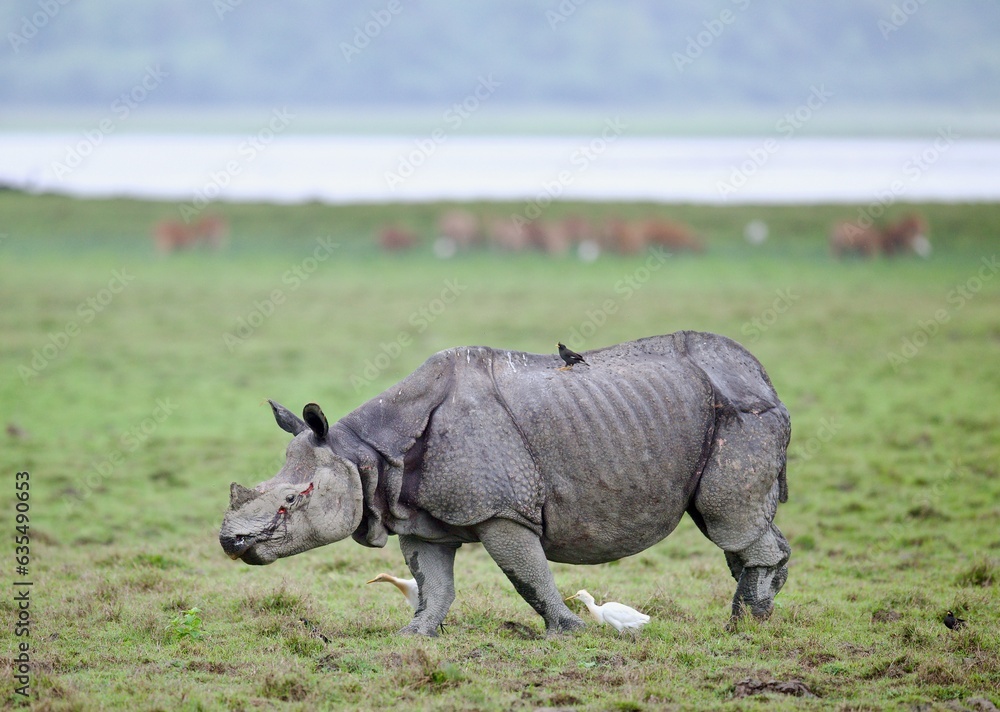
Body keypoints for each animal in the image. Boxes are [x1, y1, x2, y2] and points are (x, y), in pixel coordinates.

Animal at [219, 331, 791, 636]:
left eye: (294, 499)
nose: (230, 542)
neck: (361, 453)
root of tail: (765, 378)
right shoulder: (417, 517)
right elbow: (434, 583)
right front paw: (415, 635)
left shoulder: (501, 510)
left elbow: (528, 574)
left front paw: (569, 632)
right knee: (738, 526)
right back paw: (752, 617)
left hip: (741, 416)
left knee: (728, 521)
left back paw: (745, 626)